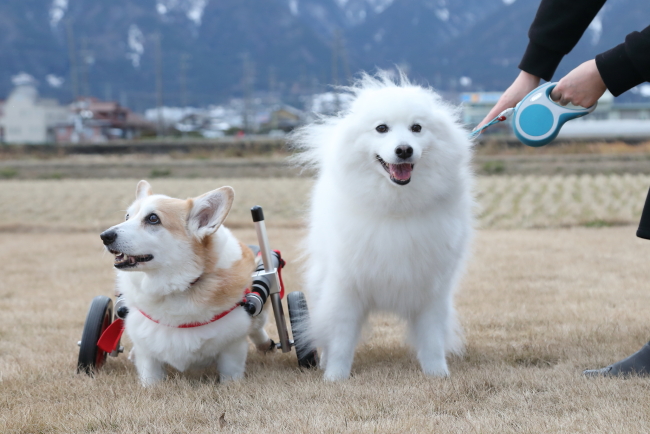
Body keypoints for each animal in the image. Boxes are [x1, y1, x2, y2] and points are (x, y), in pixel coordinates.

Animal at [292, 70, 474, 380]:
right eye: (381, 128)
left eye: (416, 128)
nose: (404, 149)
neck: (395, 208)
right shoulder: (345, 286)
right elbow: (340, 337)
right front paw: (336, 376)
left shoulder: (432, 287)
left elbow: (432, 337)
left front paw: (437, 374)